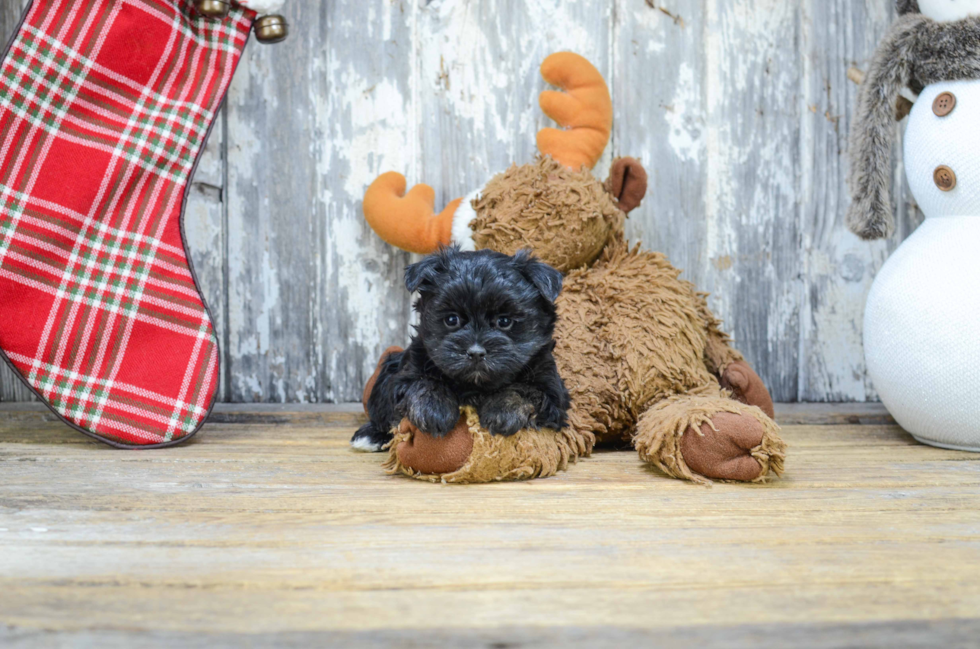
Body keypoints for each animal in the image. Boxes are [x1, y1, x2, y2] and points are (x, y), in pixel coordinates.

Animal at [352, 246, 572, 454]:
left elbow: (526, 389)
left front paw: (503, 409)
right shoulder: (408, 372)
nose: (475, 352)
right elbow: (422, 381)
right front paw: (434, 408)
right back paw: (371, 435)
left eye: (504, 321)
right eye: (452, 320)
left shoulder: (552, 390)